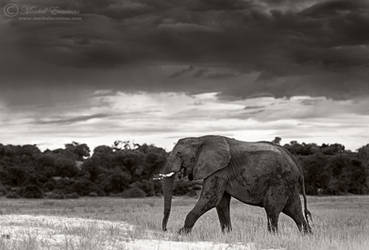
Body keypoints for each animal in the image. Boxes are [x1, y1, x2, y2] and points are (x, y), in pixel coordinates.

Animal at [160, 135, 310, 234]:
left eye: (179, 154)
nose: (166, 230)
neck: (199, 139)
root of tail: (296, 163)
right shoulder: (220, 172)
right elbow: (221, 203)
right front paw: (227, 234)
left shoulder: (219, 170)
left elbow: (211, 199)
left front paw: (181, 233)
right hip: (288, 184)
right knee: (294, 210)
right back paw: (307, 235)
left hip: (280, 181)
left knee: (272, 209)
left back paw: (273, 236)